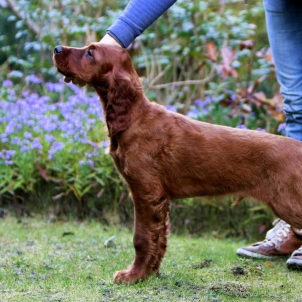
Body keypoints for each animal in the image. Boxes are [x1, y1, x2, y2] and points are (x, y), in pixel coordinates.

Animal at [53, 43, 302, 284]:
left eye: (90, 53)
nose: (56, 49)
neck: (134, 117)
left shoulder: (147, 192)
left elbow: (141, 237)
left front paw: (133, 276)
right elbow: (158, 239)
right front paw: (149, 272)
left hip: (288, 201)